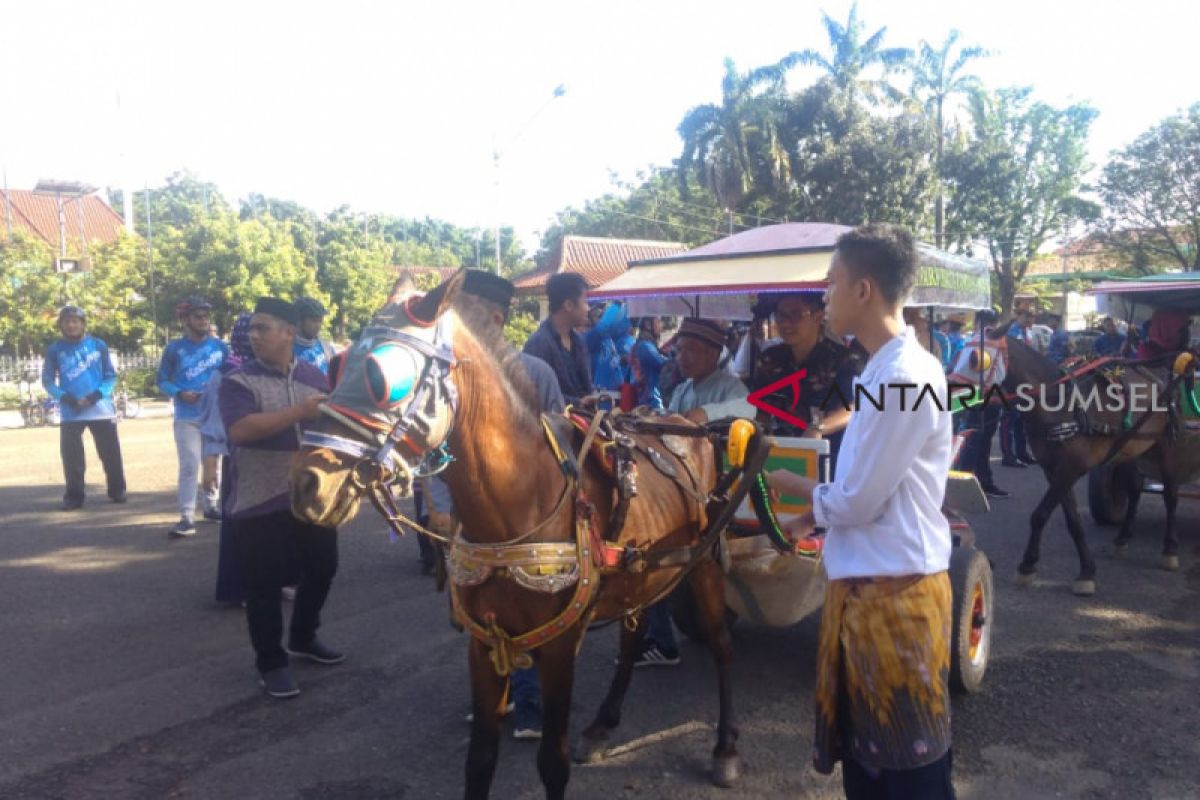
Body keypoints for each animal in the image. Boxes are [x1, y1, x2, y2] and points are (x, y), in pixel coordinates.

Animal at [286, 271, 748, 800]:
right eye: (337, 365)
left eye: (383, 379)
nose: (306, 484)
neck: (516, 507)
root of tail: (688, 421)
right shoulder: (484, 643)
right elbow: (479, 760)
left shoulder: (559, 646)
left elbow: (553, 762)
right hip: (642, 573)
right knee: (633, 639)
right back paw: (603, 725)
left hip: (704, 561)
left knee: (721, 645)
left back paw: (725, 747)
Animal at [1003, 333, 1190, 594]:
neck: (1061, 405)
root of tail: (1160, 372)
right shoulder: (1053, 470)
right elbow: (1072, 520)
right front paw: (1083, 570)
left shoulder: (1071, 468)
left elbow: (1040, 514)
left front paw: (1030, 565)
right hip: (1128, 446)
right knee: (1134, 490)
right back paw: (1122, 538)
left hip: (1164, 445)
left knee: (1170, 495)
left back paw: (1170, 549)